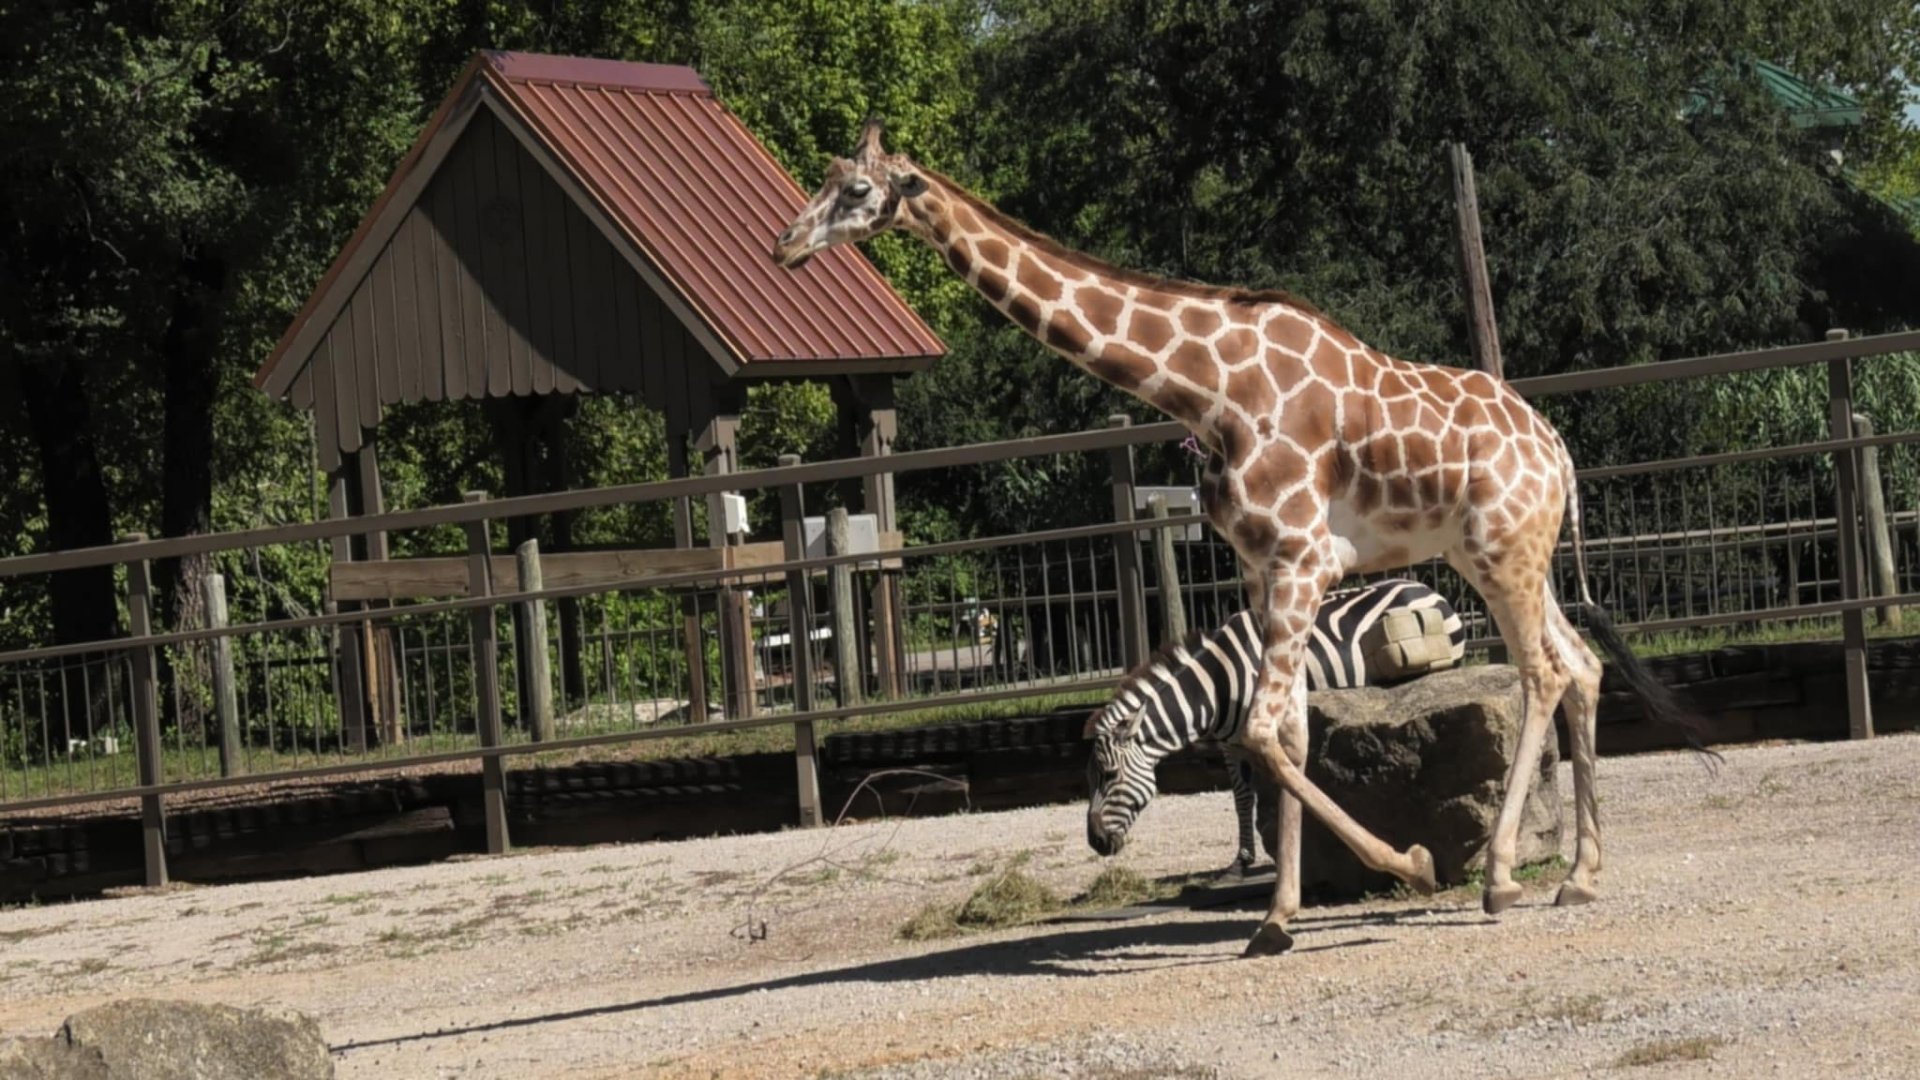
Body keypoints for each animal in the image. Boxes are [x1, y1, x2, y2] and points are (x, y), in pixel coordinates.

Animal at [1084, 578, 1464, 875]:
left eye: (1109, 774)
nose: (1095, 841)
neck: (1217, 683)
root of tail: (1426, 587)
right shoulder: (1230, 744)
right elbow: (1241, 796)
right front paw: (1241, 862)